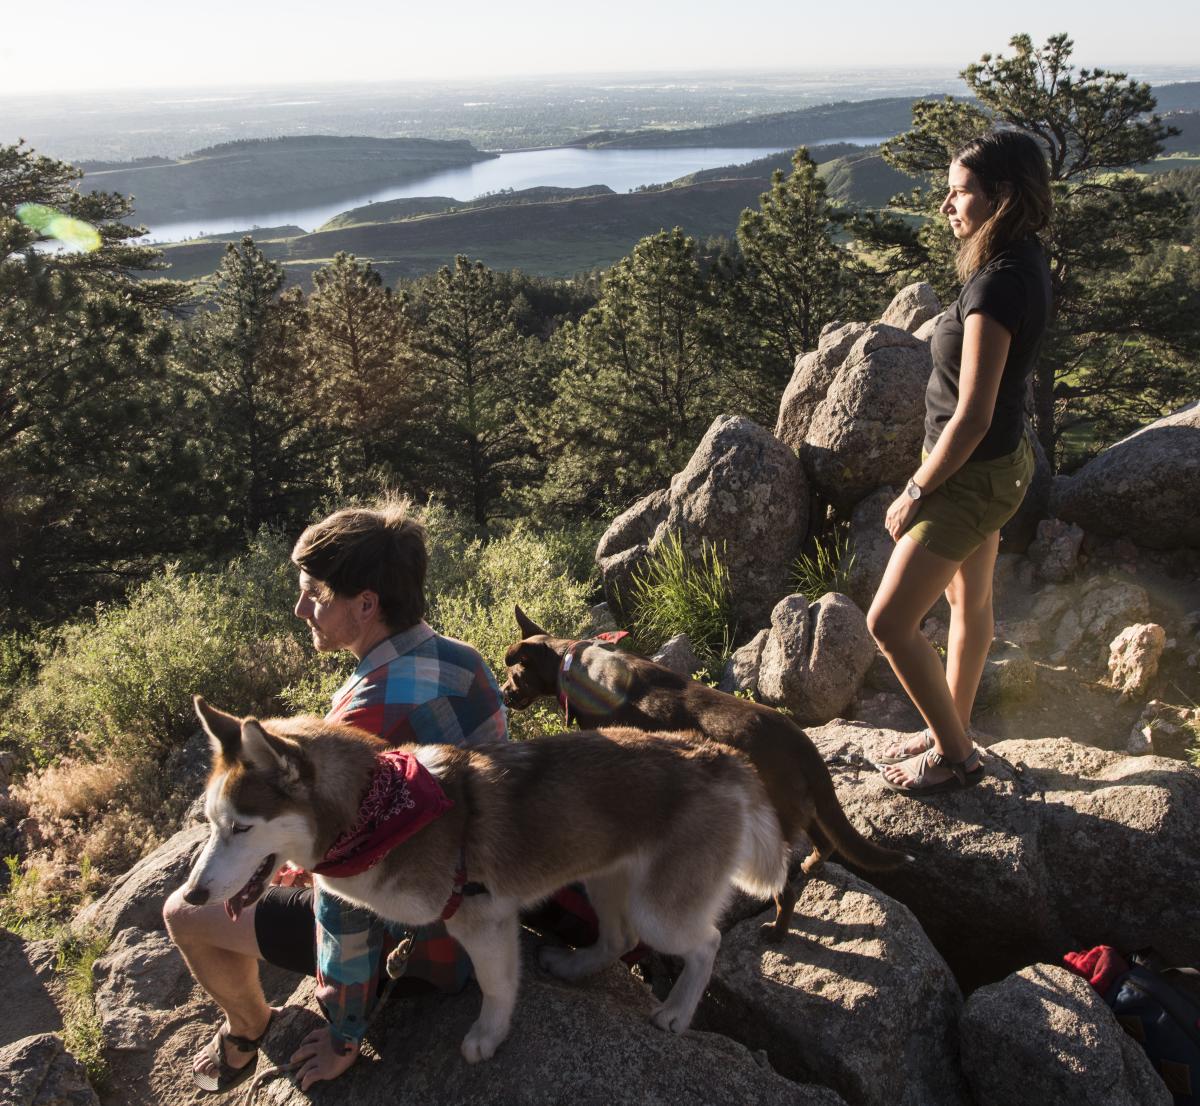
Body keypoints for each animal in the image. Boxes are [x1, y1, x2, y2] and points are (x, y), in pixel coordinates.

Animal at [175, 700, 777, 1060]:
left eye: (241, 827)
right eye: (210, 822)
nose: (194, 894)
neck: (378, 814)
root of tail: (723, 756)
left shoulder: (482, 920)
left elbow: (495, 986)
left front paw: (488, 1035)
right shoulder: (487, 919)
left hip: (661, 910)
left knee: (706, 942)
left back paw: (677, 1011)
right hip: (605, 877)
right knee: (618, 937)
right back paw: (574, 964)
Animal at [499, 606, 907, 935]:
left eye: (515, 677)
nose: (503, 694)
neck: (572, 662)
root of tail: (801, 743)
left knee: (786, 890)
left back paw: (777, 932)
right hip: (802, 805)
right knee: (827, 842)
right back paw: (811, 866)